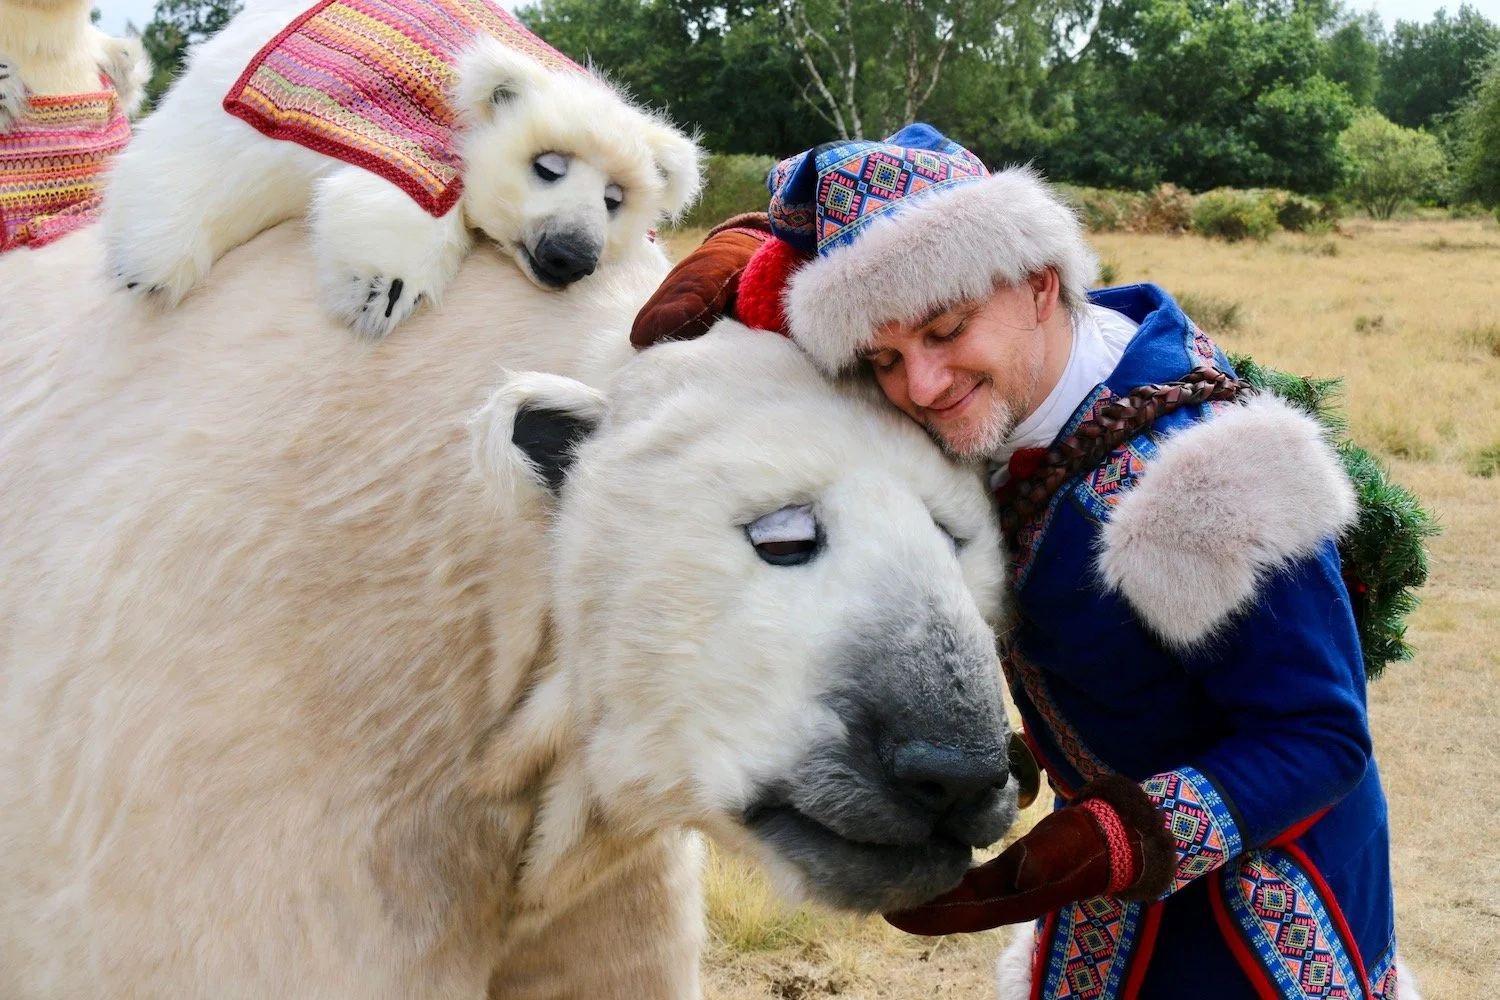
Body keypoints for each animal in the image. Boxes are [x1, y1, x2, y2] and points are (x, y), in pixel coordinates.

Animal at [101, 0, 702, 339]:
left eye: (615, 199)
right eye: (547, 166)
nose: (571, 255)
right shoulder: (375, 111)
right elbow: (406, 192)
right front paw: (381, 291)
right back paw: (146, 258)